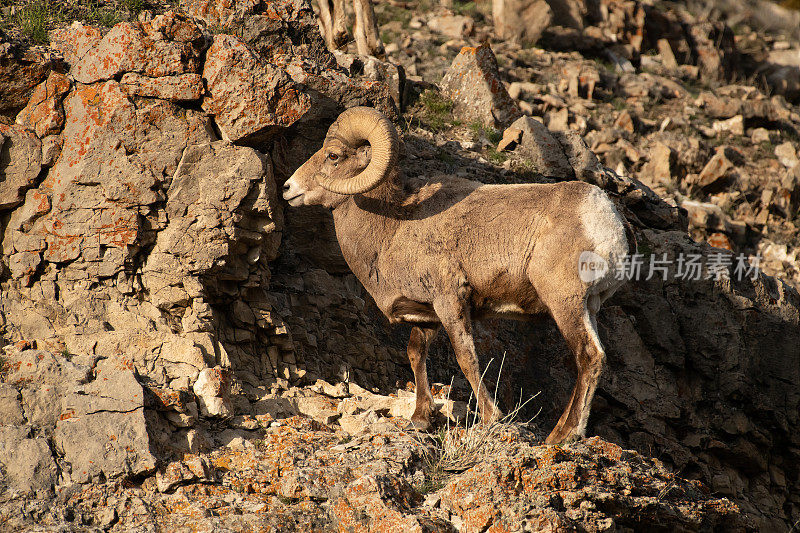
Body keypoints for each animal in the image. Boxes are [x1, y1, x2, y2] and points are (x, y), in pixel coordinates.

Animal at [282, 107, 632, 440]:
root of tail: (608, 220)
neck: (393, 228)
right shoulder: (427, 315)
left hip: (564, 302)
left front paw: (491, 418)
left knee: (589, 356)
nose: (288, 188)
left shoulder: (451, 302)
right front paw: (421, 418)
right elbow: (416, 353)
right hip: (588, 307)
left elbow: (467, 358)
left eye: (333, 156)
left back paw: (564, 435)